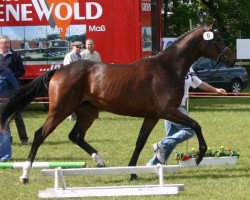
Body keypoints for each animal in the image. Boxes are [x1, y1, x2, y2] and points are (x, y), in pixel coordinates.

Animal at [0, 25, 235, 183]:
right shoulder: (167, 111)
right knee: (40, 134)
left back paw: (100, 160)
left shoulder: (152, 116)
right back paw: (25, 174)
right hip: (60, 111)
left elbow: (140, 142)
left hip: (88, 112)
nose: (231, 59)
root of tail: (59, 71)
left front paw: (132, 172)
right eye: (216, 39)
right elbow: (195, 125)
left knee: (76, 135)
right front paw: (199, 155)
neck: (167, 68)